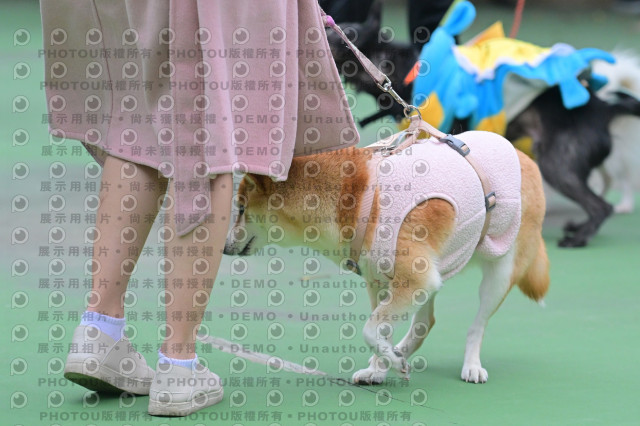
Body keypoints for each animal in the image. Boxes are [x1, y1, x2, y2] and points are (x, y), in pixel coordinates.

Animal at [224, 128, 550, 385]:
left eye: (240, 209)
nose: (224, 248)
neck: (360, 199)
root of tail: (525, 158)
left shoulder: (412, 279)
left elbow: (370, 329)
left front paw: (389, 362)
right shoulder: (381, 279)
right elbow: (380, 329)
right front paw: (381, 367)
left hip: (497, 274)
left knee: (476, 326)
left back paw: (471, 365)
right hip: (437, 269)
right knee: (424, 322)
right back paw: (401, 352)